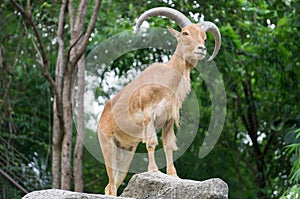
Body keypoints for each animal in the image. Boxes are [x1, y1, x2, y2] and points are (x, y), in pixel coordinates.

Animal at [97, 6, 221, 196]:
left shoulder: (168, 120)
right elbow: (151, 143)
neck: (168, 83)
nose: (201, 49)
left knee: (113, 184)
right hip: (108, 146)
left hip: (126, 152)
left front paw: (173, 174)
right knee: (110, 185)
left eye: (204, 37)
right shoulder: (149, 116)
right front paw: (154, 170)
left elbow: (168, 145)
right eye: (185, 33)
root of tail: (101, 118)